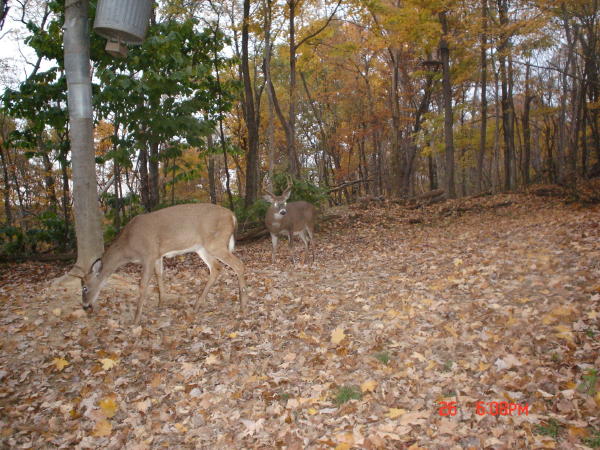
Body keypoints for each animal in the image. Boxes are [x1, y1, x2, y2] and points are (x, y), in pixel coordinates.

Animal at [78, 204, 248, 324]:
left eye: (84, 287)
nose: (85, 306)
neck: (128, 247)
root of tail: (232, 215)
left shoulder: (148, 254)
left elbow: (142, 284)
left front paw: (136, 319)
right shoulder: (157, 255)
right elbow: (159, 274)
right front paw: (161, 303)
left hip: (215, 243)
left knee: (239, 264)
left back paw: (242, 306)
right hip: (202, 247)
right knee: (216, 268)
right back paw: (197, 305)